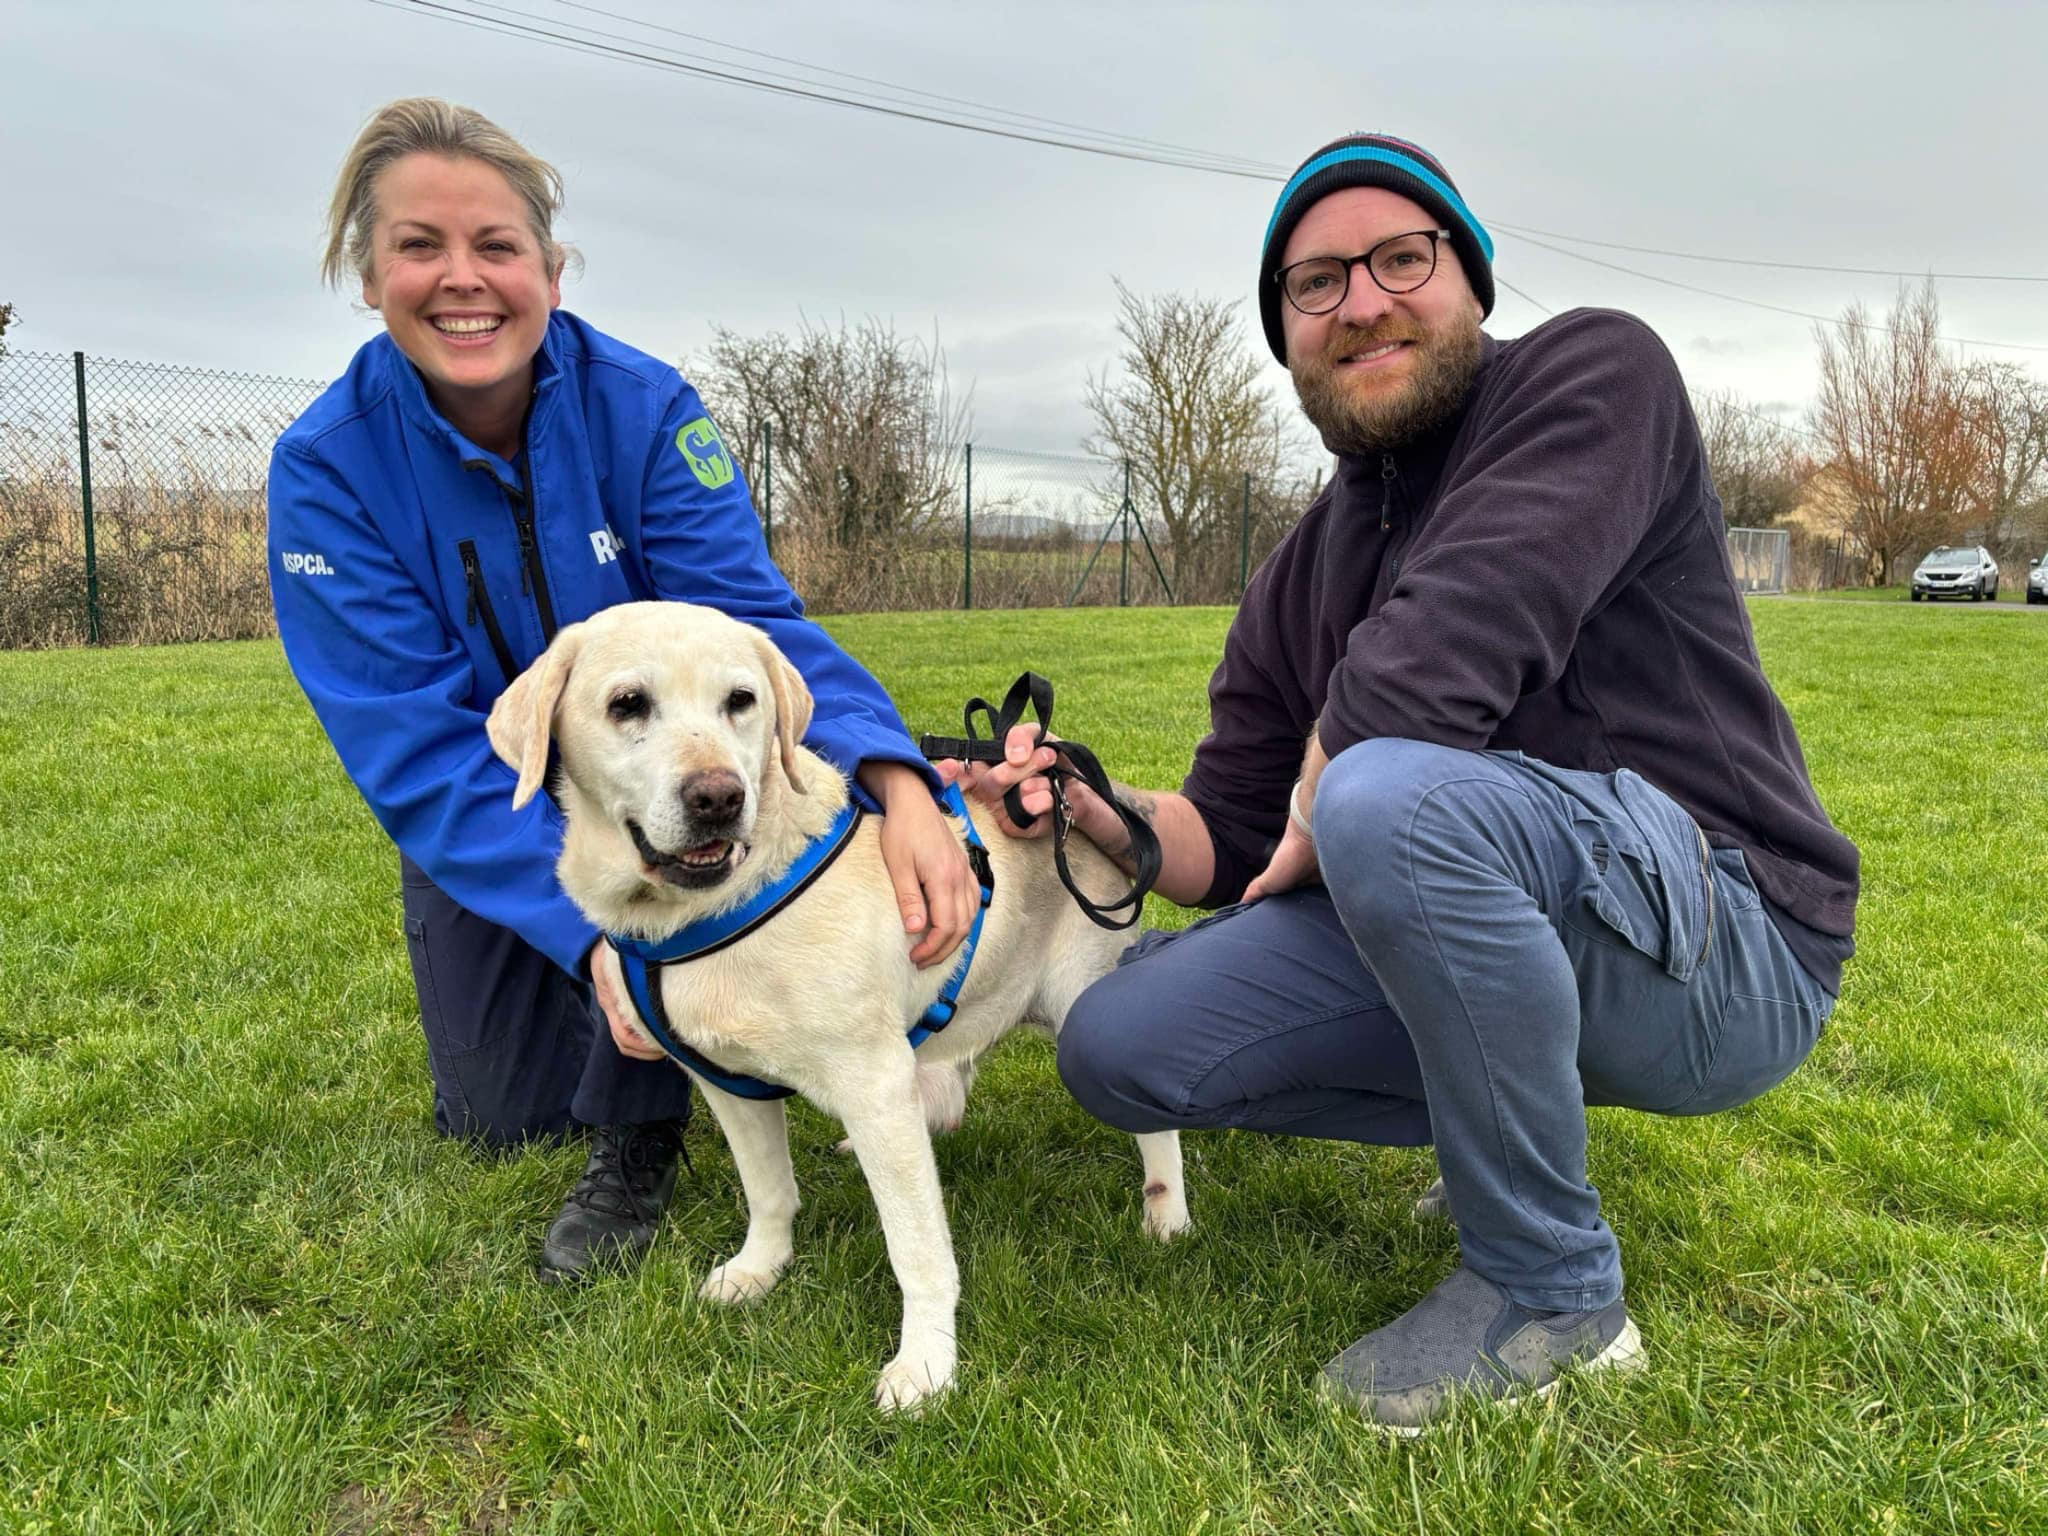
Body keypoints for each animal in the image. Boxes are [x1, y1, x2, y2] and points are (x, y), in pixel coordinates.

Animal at [485, 598, 1187, 1409]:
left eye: (741, 700)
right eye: (627, 704)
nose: (719, 798)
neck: (711, 909)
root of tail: (1082, 797)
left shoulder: (873, 1083)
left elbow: (917, 1246)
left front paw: (926, 1365)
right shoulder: (729, 1085)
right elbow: (767, 1190)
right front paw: (759, 1270)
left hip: (1083, 1002)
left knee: (1151, 1123)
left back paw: (1167, 1213)